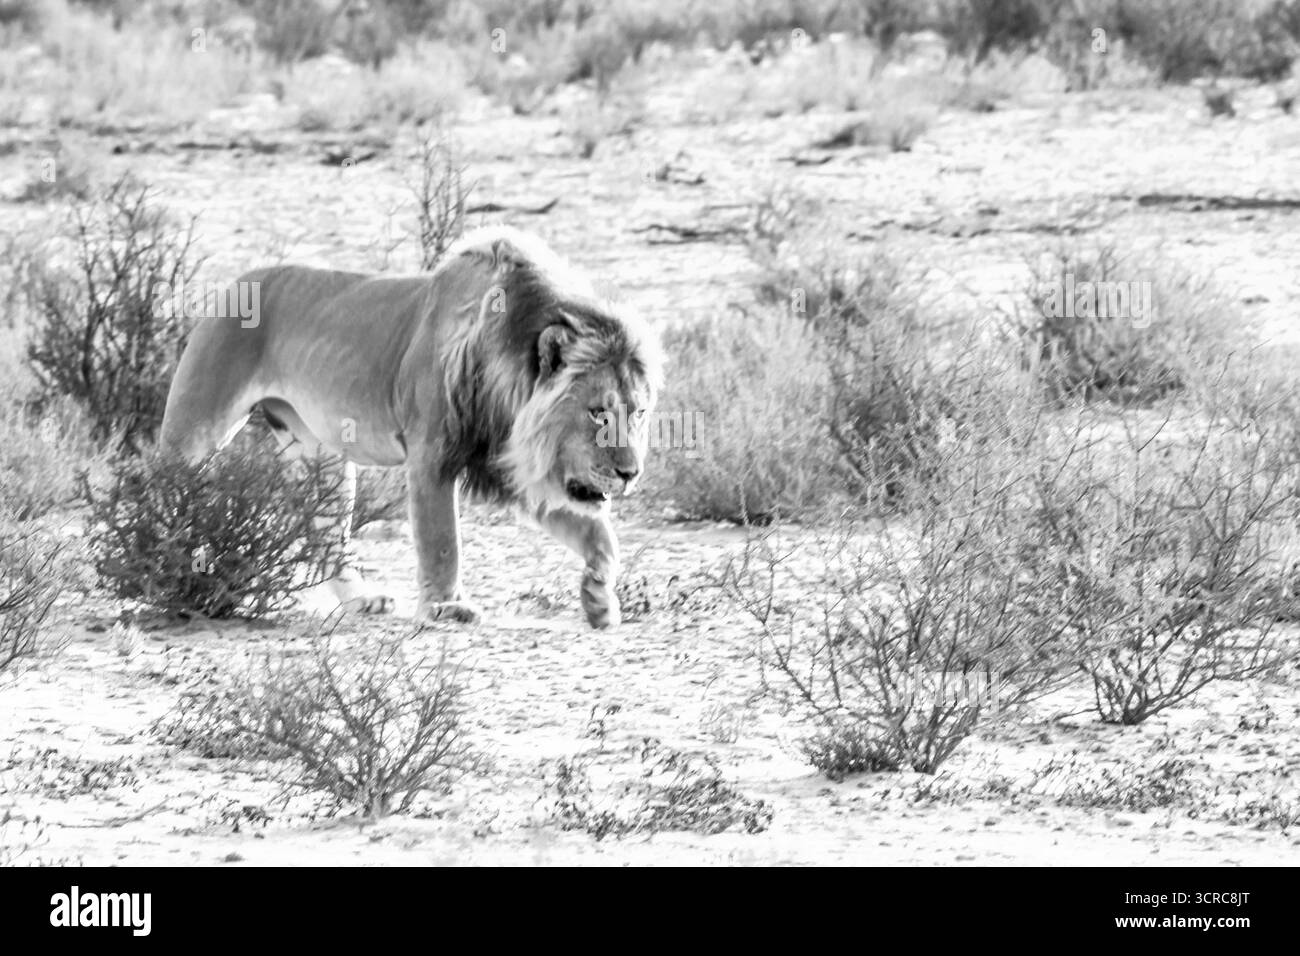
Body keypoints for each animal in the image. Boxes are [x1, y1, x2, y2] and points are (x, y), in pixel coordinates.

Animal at [158, 227, 663, 629]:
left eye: (638, 413)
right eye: (597, 413)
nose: (630, 473)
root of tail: (240, 281)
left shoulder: (513, 462)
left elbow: (599, 536)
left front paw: (599, 600)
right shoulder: (431, 454)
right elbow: (442, 541)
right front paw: (446, 607)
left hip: (321, 457)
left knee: (328, 538)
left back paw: (362, 601)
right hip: (197, 425)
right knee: (162, 485)